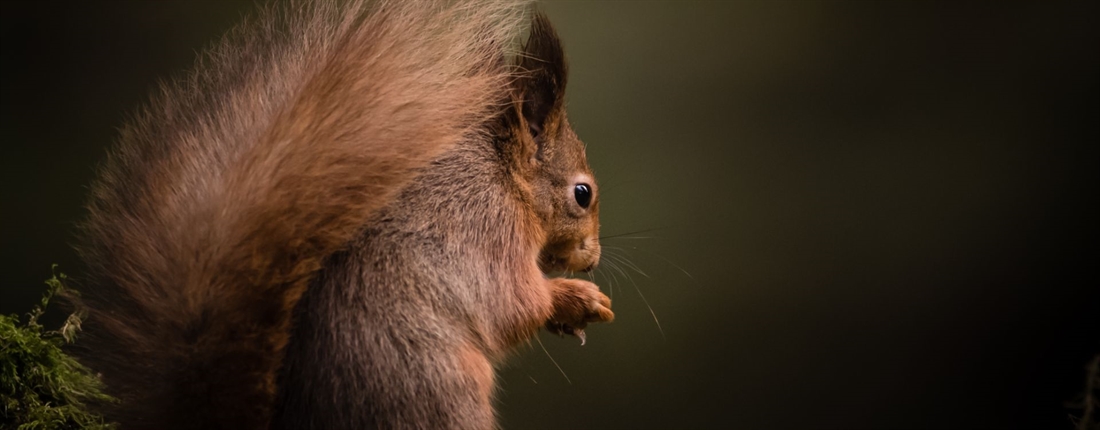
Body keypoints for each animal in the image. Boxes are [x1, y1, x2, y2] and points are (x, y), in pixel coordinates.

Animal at [74, 0, 616, 428]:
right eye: (582, 193)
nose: (591, 259)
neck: (506, 184)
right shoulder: (483, 229)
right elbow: (512, 303)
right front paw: (574, 298)